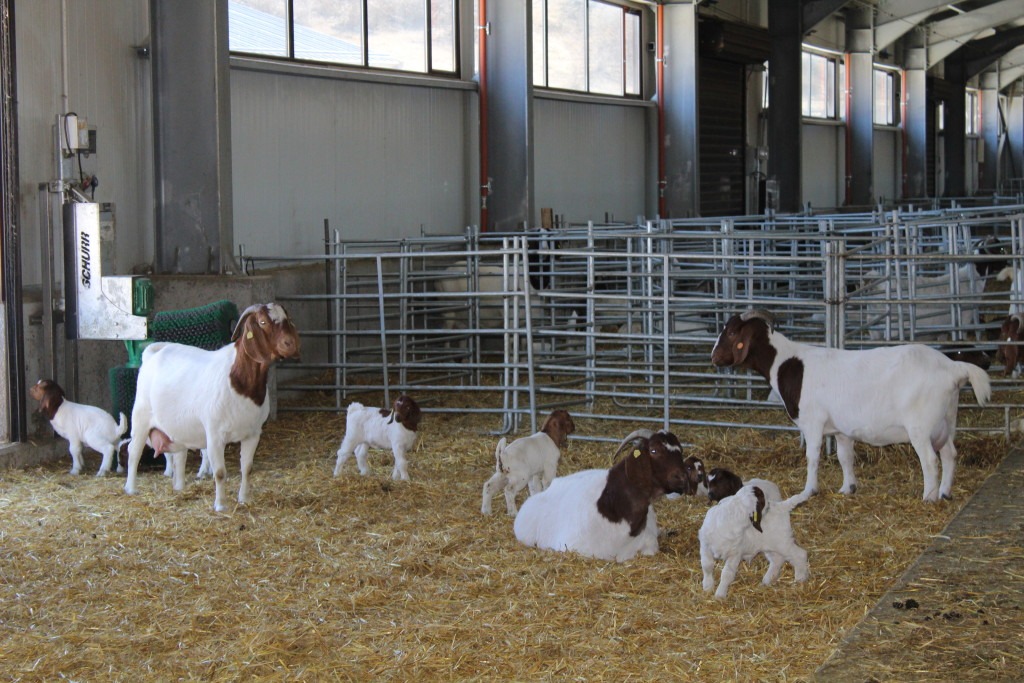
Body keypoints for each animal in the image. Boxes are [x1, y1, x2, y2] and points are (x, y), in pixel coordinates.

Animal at [123, 301, 299, 509]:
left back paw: (179, 488)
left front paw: (244, 499)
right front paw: (221, 505)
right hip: (141, 416)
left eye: (287, 318)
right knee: (133, 451)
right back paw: (131, 489)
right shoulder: (215, 435)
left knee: (179, 456)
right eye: (263, 321)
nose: (291, 343)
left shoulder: (253, 433)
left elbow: (247, 468)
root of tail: (152, 353)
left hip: (177, 428)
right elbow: (220, 472)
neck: (240, 382)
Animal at [712, 309, 991, 501]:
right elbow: (844, 457)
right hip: (946, 420)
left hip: (921, 426)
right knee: (950, 454)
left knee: (931, 460)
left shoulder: (813, 423)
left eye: (733, 332)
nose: (713, 357)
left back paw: (928, 498)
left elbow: (812, 457)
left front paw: (808, 490)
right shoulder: (840, 430)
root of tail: (953, 368)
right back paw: (945, 493)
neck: (786, 362)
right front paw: (848, 488)